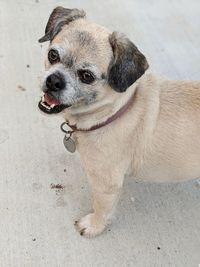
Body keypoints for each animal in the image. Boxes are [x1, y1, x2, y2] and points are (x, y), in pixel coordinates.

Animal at [38, 6, 200, 238]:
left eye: (86, 76)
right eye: (53, 55)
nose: (54, 80)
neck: (113, 111)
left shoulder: (106, 185)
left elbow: (102, 208)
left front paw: (93, 225)